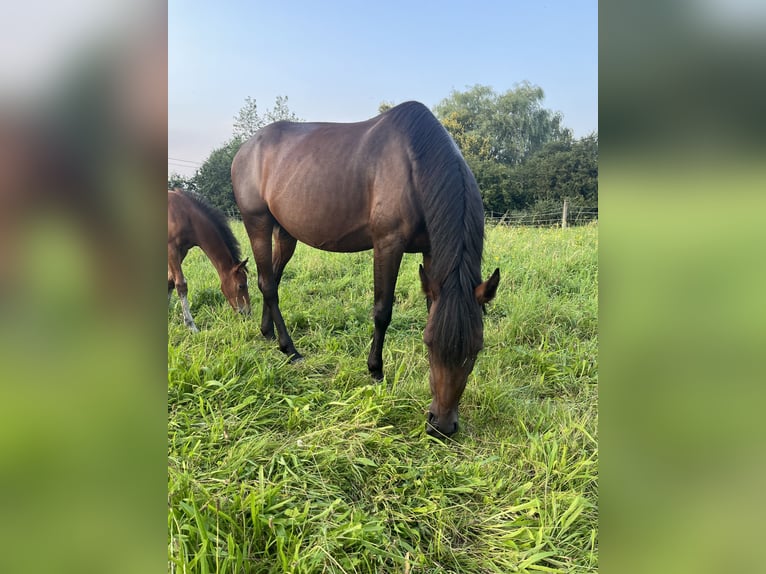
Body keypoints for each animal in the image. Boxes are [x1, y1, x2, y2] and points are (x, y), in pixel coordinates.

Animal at [168, 189, 252, 332]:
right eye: (241, 285)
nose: (247, 313)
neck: (186, 215)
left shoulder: (182, 250)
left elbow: (169, 282)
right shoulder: (171, 248)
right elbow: (181, 285)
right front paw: (191, 327)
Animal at [231, 101, 500, 438]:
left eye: (477, 348)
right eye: (428, 344)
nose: (441, 425)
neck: (415, 164)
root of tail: (245, 149)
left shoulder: (431, 251)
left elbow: (430, 307)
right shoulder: (387, 243)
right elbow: (382, 311)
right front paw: (375, 370)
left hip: (285, 232)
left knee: (272, 281)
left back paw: (268, 333)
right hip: (257, 223)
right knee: (267, 283)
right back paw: (290, 349)